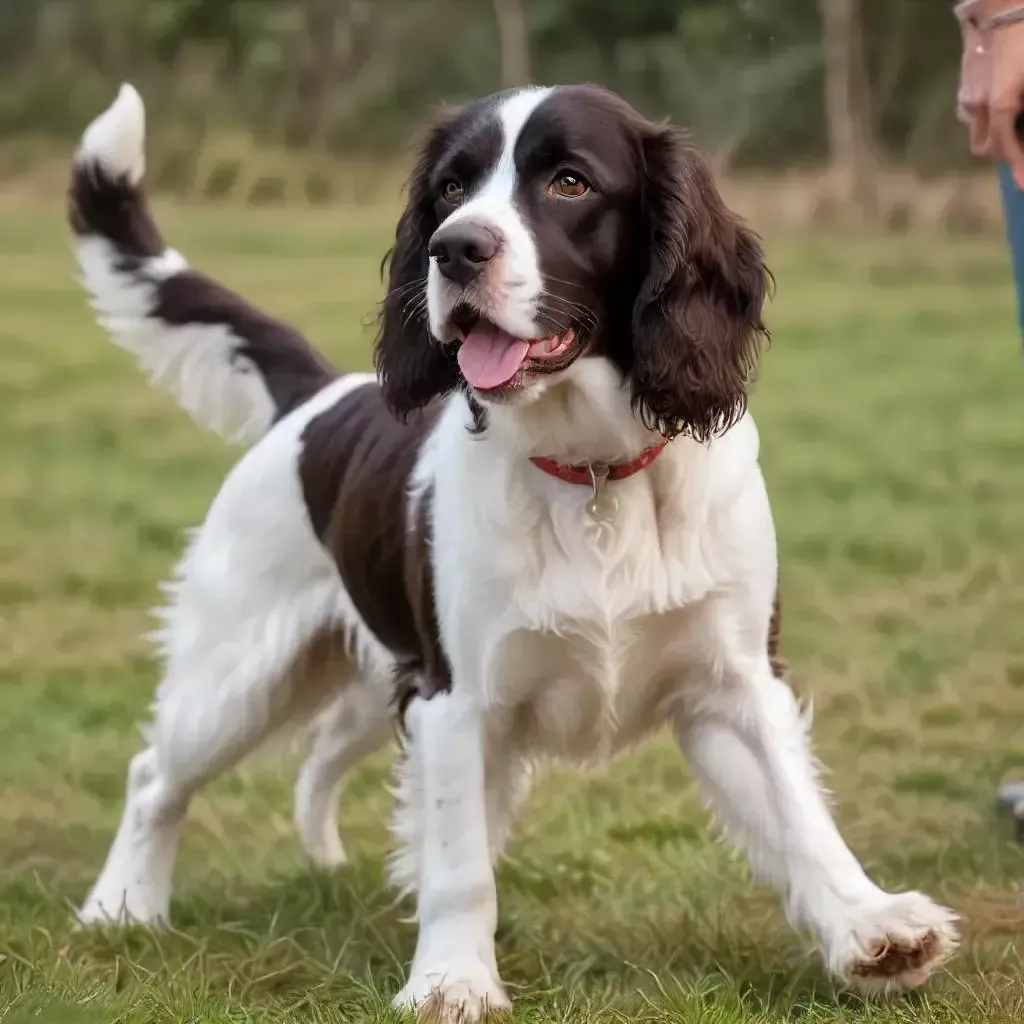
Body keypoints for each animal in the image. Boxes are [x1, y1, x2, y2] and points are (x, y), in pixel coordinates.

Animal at [72, 81, 958, 1015]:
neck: (594, 471)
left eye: (570, 182)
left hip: (361, 684)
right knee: (154, 777)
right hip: (239, 675)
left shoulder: (737, 680)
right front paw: (451, 981)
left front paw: (869, 925)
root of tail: (315, 397)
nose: (453, 249)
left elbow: (800, 814)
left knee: (318, 761)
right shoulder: (456, 700)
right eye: (451, 189)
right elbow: (461, 865)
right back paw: (121, 908)